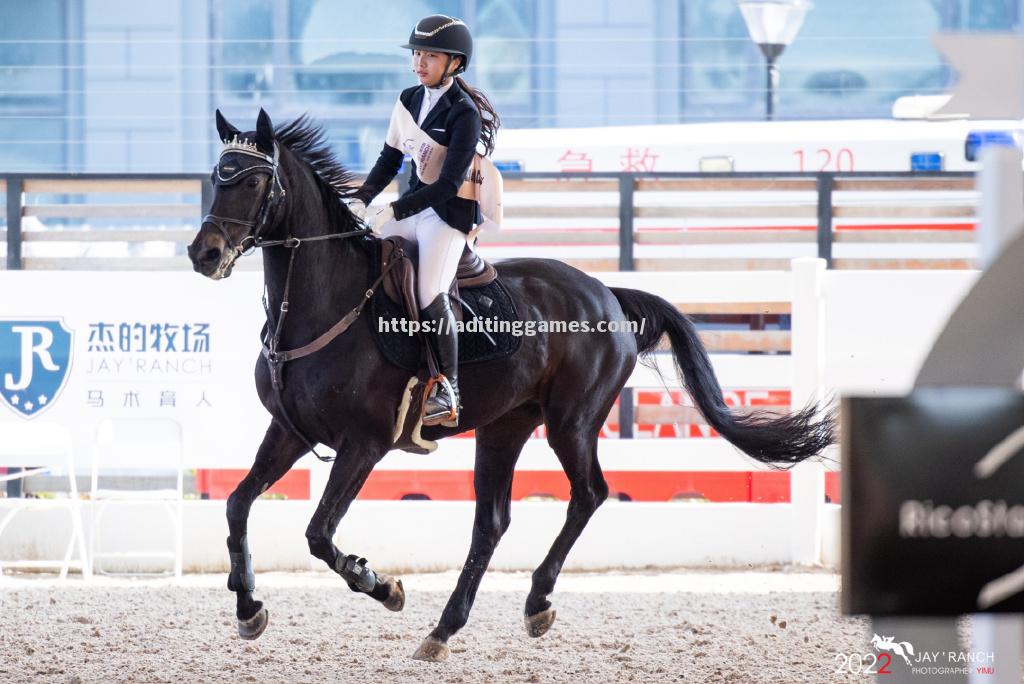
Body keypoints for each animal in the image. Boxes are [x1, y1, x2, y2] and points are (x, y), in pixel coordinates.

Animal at [188, 108, 835, 663]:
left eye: (253, 181)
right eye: (218, 178)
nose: (204, 254)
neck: (326, 299)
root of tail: (605, 292)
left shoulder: (364, 443)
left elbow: (320, 534)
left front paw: (383, 585)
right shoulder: (290, 431)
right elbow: (238, 505)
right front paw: (248, 607)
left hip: (572, 422)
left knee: (589, 495)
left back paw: (535, 601)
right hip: (504, 427)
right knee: (491, 522)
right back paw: (443, 631)